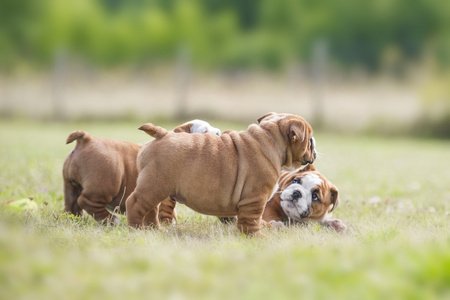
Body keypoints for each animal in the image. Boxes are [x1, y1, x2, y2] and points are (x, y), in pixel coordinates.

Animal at [62, 119, 221, 223]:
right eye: (205, 131)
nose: (219, 132)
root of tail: (86, 140)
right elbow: (164, 213)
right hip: (106, 184)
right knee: (86, 201)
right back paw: (112, 220)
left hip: (70, 186)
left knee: (72, 205)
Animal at [125, 111, 316, 236]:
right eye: (309, 140)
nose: (314, 146)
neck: (270, 138)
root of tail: (163, 134)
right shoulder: (255, 200)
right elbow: (252, 220)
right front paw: (255, 237)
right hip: (155, 185)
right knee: (135, 203)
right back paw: (136, 229)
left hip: (155, 188)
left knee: (151, 209)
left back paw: (154, 229)